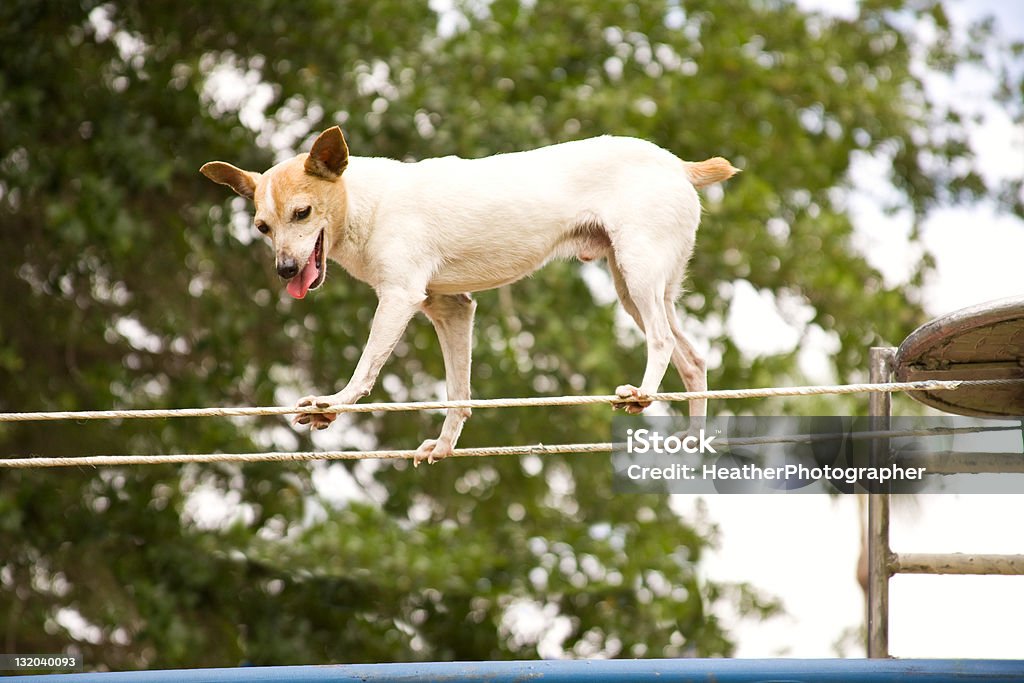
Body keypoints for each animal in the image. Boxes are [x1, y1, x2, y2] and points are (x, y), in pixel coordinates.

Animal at [201, 127, 737, 464]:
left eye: (303, 212)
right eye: (262, 227)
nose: (285, 270)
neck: (364, 203)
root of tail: (678, 166)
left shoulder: (399, 298)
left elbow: (365, 368)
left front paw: (333, 403)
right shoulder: (450, 308)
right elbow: (458, 393)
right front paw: (444, 446)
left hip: (638, 269)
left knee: (662, 341)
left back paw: (642, 394)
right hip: (637, 286)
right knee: (693, 360)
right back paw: (693, 441)